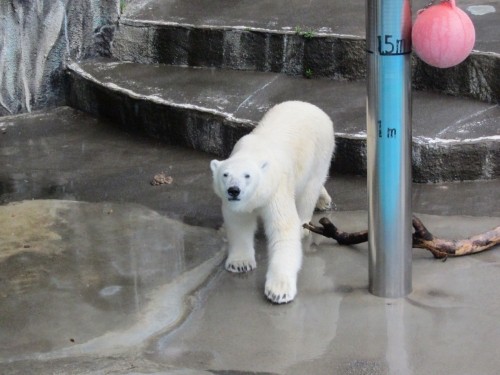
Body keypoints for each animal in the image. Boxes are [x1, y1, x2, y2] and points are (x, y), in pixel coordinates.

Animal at [209, 100, 334, 306]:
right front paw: (240, 263)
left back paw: (304, 222)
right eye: (225, 174)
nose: (233, 190)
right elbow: (239, 224)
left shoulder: (275, 188)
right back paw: (323, 200)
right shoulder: (237, 205)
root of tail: (311, 106)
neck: (253, 153)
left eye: (247, 175)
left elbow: (283, 228)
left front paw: (279, 291)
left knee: (310, 189)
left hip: (320, 151)